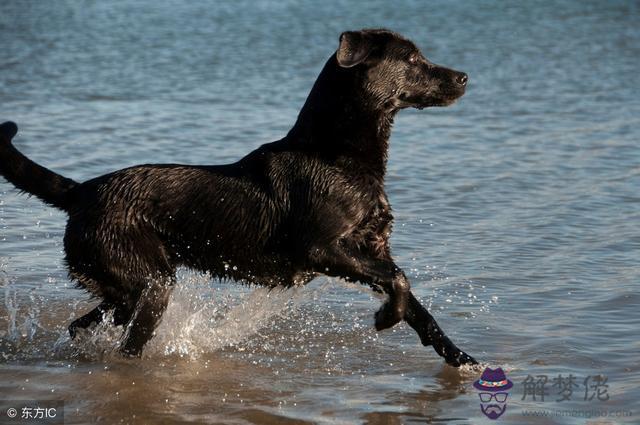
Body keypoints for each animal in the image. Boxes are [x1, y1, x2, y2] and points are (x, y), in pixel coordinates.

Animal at [0, 29, 478, 364]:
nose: (464, 76)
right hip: (150, 285)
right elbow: (399, 281)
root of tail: (83, 190)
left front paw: (461, 358)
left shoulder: (373, 248)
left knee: (81, 325)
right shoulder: (322, 250)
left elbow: (417, 304)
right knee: (128, 343)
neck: (334, 153)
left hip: (122, 289)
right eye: (412, 58)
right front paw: (384, 318)